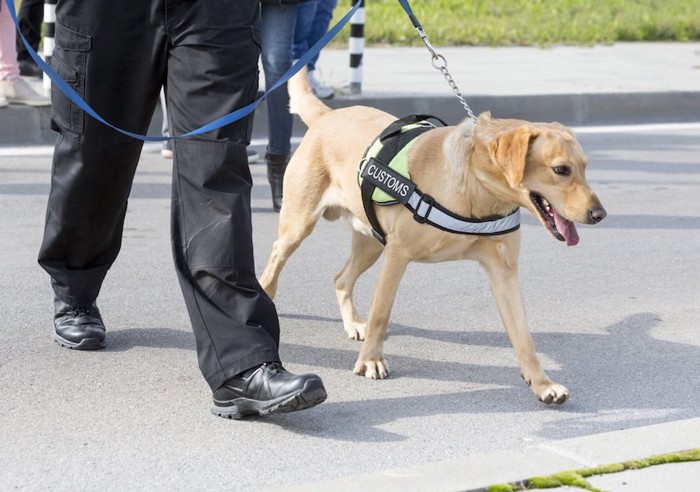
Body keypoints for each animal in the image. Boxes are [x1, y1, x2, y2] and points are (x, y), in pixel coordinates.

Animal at [260, 70, 604, 408]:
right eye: (561, 170)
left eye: (585, 168)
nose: (599, 214)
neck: (475, 189)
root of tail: (327, 116)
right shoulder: (397, 255)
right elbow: (381, 313)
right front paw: (371, 360)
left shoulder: (504, 272)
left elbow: (524, 337)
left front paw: (542, 383)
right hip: (299, 226)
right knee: (274, 261)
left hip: (370, 241)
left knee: (341, 278)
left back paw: (353, 322)